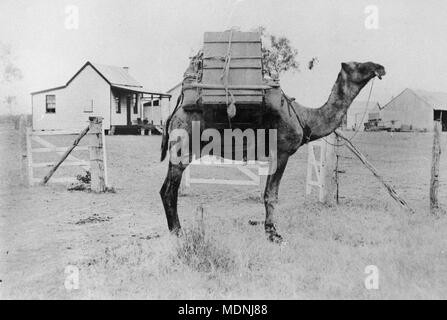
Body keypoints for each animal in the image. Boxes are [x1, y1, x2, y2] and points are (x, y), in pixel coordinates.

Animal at [160, 61, 384, 242]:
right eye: (358, 65)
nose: (380, 67)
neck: (305, 118)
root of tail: (174, 113)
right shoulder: (282, 152)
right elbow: (271, 195)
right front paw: (274, 234)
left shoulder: (274, 156)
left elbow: (268, 193)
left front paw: (269, 230)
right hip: (183, 149)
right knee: (169, 190)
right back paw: (178, 232)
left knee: (165, 189)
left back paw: (175, 231)